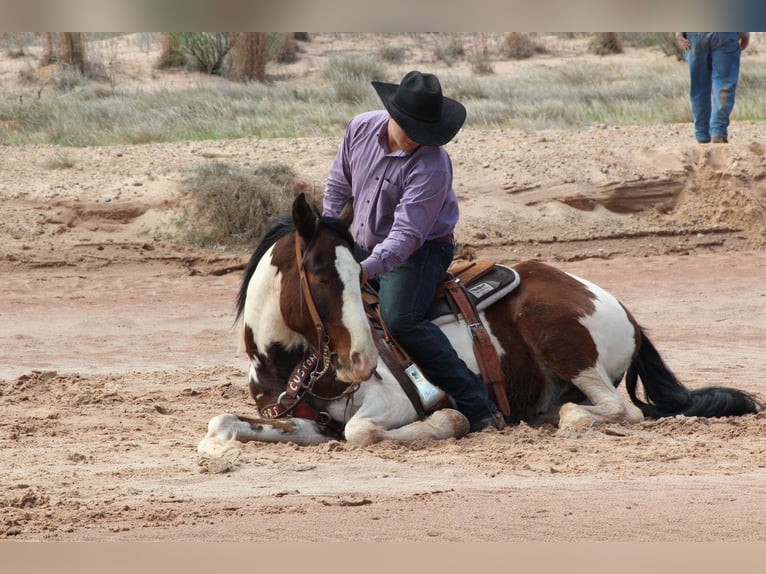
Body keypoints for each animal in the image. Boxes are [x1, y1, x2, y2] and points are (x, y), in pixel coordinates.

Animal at [198, 194, 760, 454]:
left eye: (360, 272)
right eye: (317, 272)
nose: (361, 360)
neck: (287, 362)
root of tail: (620, 306)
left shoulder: (394, 402)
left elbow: (362, 431)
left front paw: (451, 421)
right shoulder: (306, 422)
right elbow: (221, 422)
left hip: (559, 336)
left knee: (620, 410)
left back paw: (563, 417)